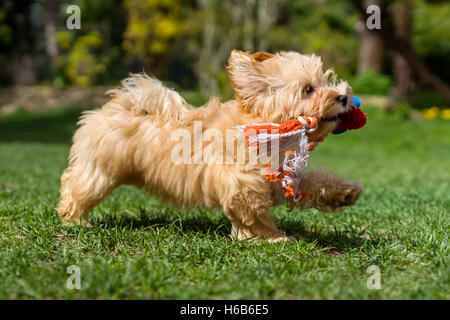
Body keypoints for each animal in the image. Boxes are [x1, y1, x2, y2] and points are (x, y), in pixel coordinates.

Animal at [56, 50, 364, 240]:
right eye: (308, 89)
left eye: (326, 81)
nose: (343, 97)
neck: (265, 128)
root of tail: (117, 105)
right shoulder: (242, 182)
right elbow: (253, 211)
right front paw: (271, 237)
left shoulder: (282, 175)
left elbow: (313, 181)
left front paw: (344, 192)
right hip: (102, 170)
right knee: (77, 185)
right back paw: (74, 219)